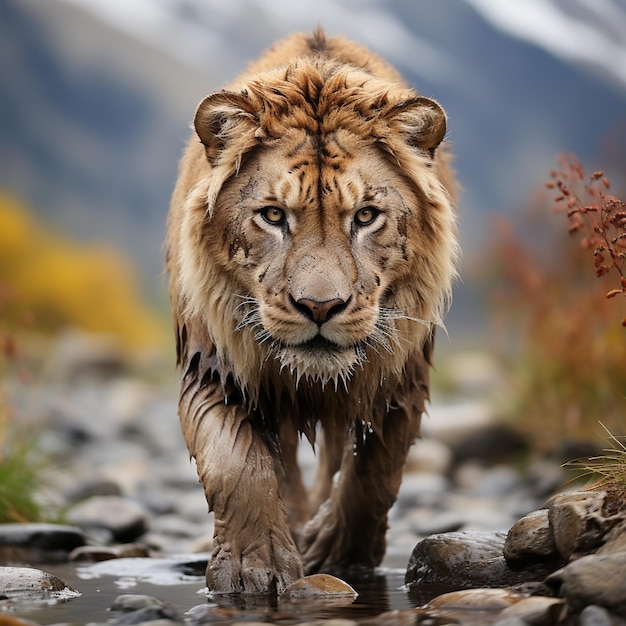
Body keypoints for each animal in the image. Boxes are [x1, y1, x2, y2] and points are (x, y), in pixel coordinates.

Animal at [165, 29, 458, 592]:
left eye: (365, 216)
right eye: (273, 216)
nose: (320, 306)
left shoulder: (400, 379)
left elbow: (375, 475)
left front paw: (341, 554)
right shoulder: (214, 365)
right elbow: (236, 465)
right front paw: (253, 568)